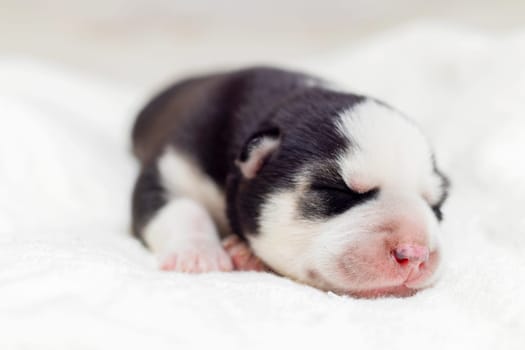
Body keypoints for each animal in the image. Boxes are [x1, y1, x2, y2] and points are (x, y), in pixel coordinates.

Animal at [130, 66, 446, 298]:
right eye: (337, 190)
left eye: (436, 207)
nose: (415, 255)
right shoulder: (172, 164)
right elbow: (182, 208)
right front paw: (197, 253)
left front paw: (245, 252)